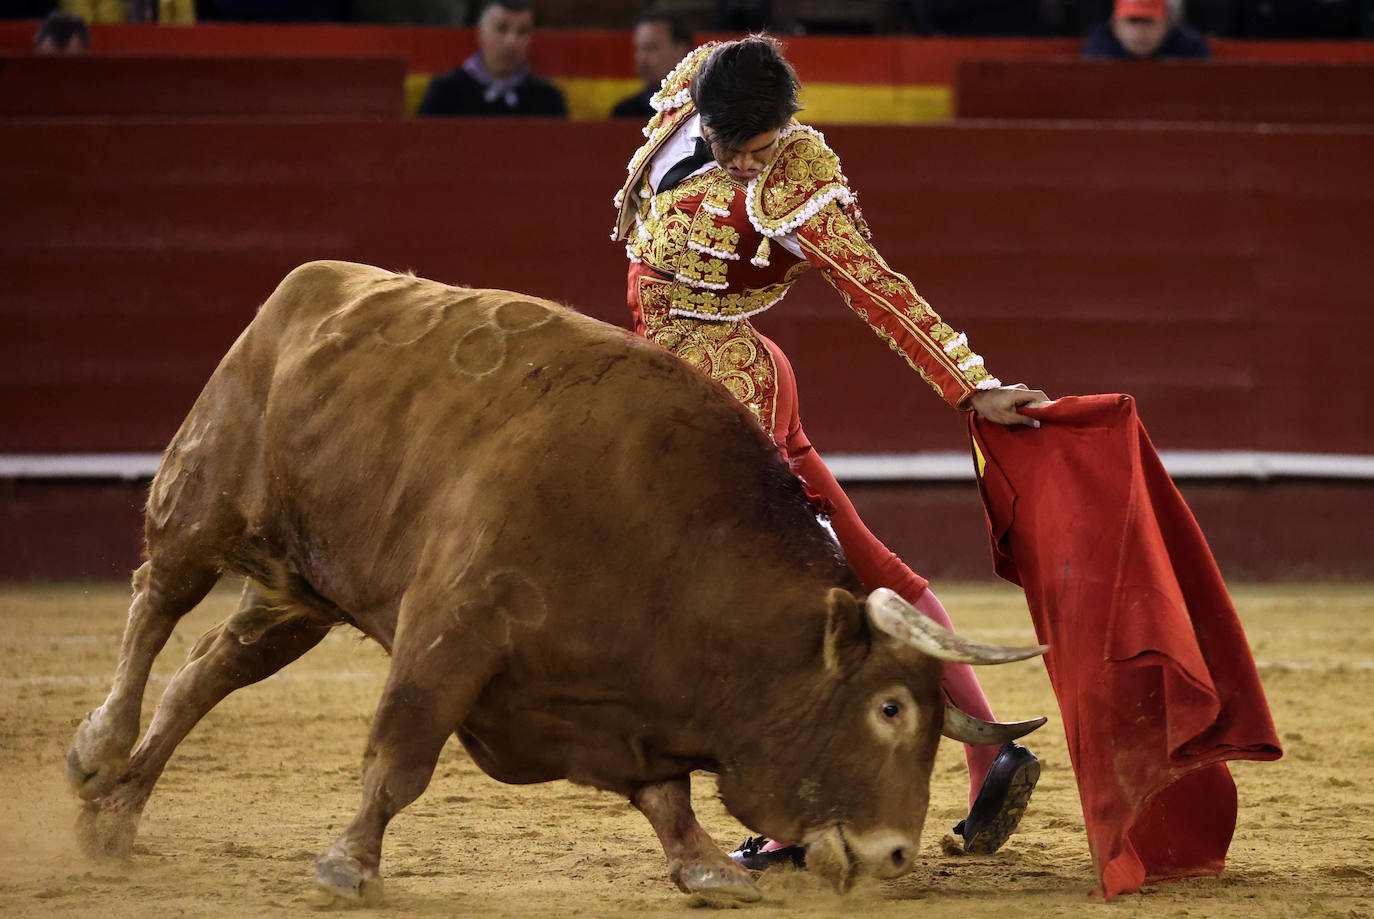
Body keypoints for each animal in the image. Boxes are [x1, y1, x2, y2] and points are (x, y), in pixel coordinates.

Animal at [66, 259, 1038, 901]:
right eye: (889, 708)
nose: (896, 855)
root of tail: (309, 282)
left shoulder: (625, 706)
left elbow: (666, 794)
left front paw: (705, 865)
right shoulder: (451, 629)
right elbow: (401, 753)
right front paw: (349, 865)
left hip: (297, 587)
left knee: (207, 671)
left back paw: (113, 818)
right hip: (204, 494)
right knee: (154, 602)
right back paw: (96, 752)